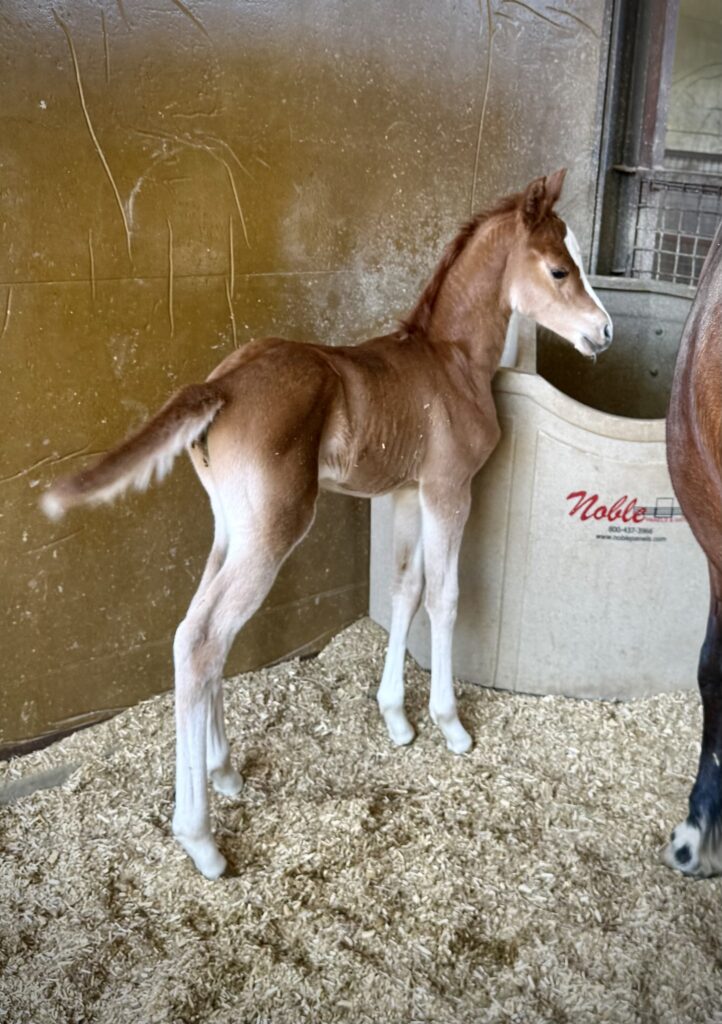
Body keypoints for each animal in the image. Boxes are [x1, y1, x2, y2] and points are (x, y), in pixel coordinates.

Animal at [41, 169, 613, 878]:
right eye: (560, 269)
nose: (604, 332)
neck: (451, 362)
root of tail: (220, 388)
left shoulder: (405, 495)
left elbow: (405, 589)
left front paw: (397, 719)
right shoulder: (449, 490)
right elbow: (446, 597)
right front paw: (450, 724)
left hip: (231, 530)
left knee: (195, 633)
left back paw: (224, 770)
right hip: (273, 533)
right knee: (204, 640)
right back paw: (201, 840)